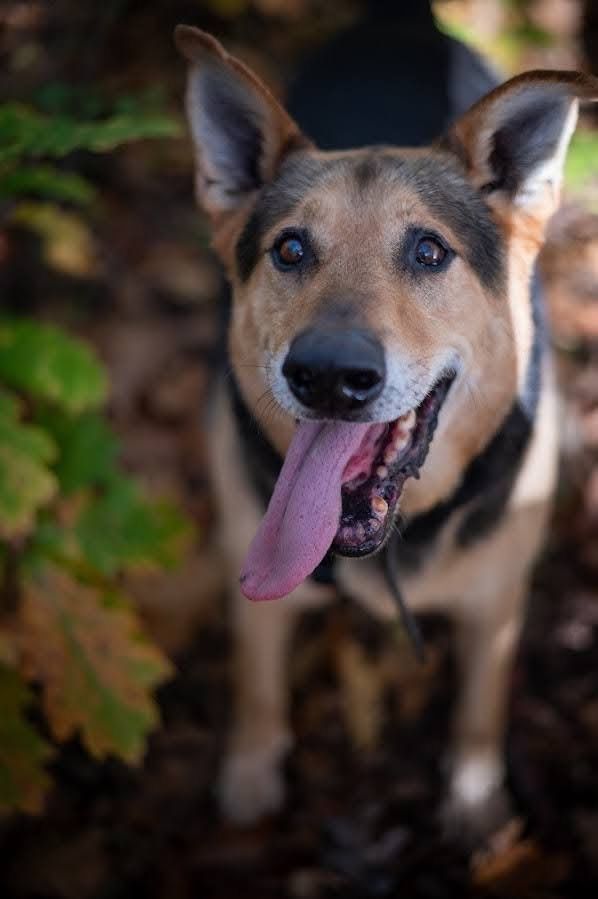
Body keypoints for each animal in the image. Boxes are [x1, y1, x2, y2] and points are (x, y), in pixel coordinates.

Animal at [175, 15, 598, 844]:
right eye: (290, 249)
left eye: (429, 250)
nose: (327, 375)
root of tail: (402, 17)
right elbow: (257, 682)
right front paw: (249, 774)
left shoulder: (498, 600)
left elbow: (480, 702)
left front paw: (474, 798)